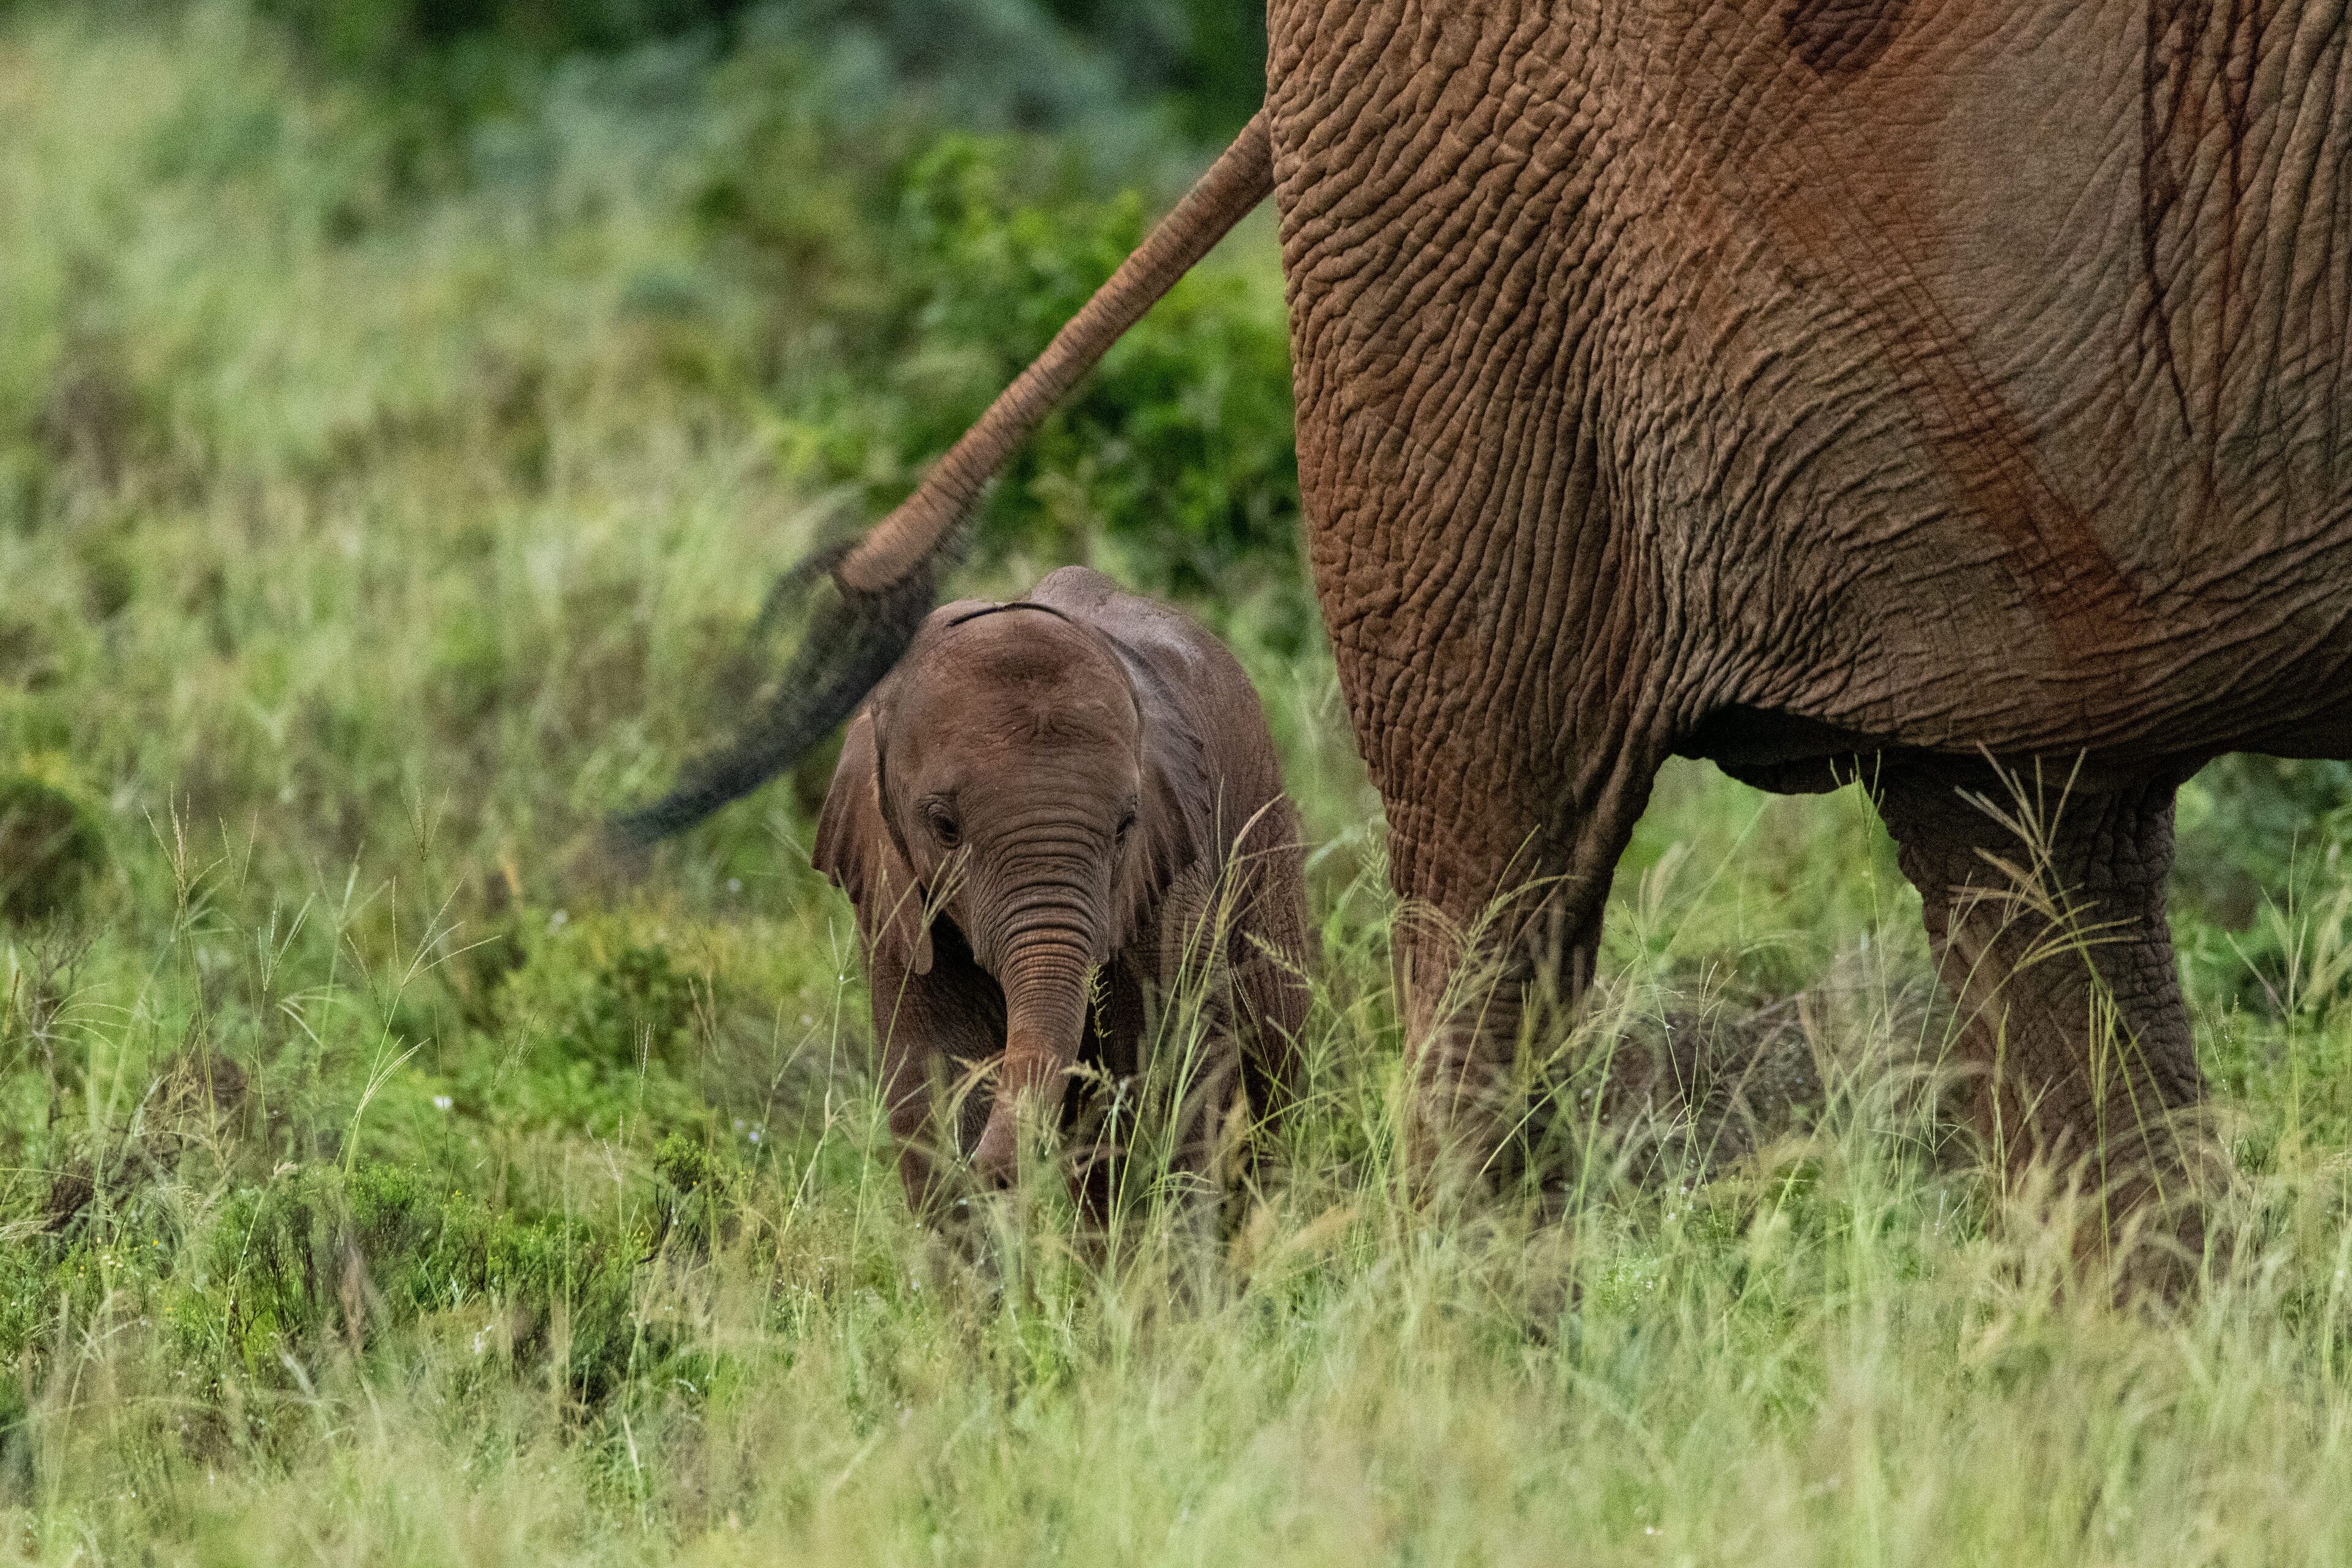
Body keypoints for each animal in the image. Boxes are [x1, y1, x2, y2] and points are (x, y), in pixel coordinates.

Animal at [805, 566, 1311, 1214]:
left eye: (1126, 826)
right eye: (944, 828)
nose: (997, 1174)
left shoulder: (1171, 880)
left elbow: (1173, 1065)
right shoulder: (897, 899)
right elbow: (932, 1083)